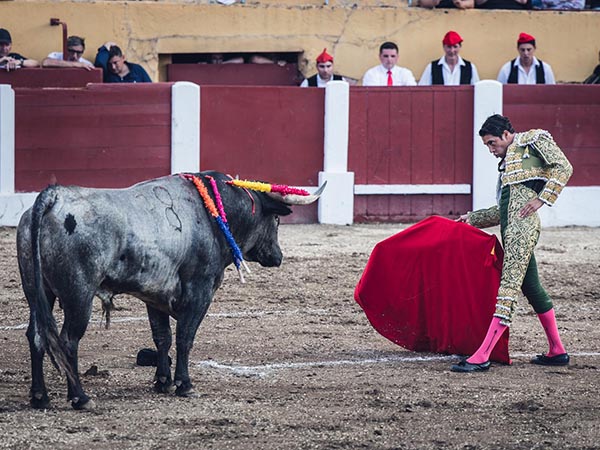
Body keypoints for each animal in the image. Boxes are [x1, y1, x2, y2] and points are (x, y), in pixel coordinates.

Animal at [15, 171, 324, 410]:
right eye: (276, 221)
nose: (278, 257)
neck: (213, 212)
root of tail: (54, 197)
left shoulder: (154, 295)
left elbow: (162, 336)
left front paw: (162, 382)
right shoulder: (200, 291)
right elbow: (185, 337)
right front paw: (184, 384)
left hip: (37, 292)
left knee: (36, 336)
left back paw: (40, 397)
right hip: (78, 295)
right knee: (67, 340)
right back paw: (80, 397)